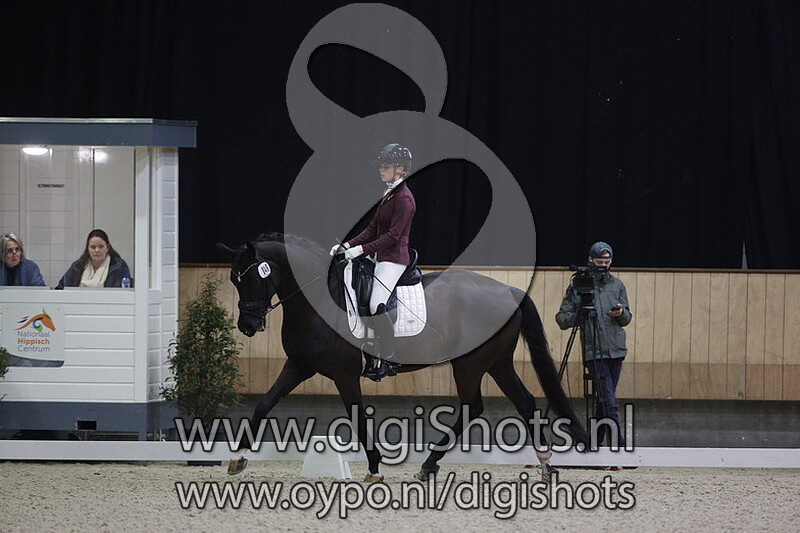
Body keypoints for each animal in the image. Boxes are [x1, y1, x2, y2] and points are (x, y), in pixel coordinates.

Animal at [217, 233, 588, 482]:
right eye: (234, 280)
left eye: (251, 277)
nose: (247, 326)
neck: (320, 301)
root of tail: (510, 291)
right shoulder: (299, 366)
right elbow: (264, 404)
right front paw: (238, 459)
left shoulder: (344, 375)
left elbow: (358, 419)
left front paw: (374, 468)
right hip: (497, 363)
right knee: (523, 402)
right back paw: (544, 465)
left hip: (471, 363)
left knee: (474, 406)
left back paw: (429, 465)